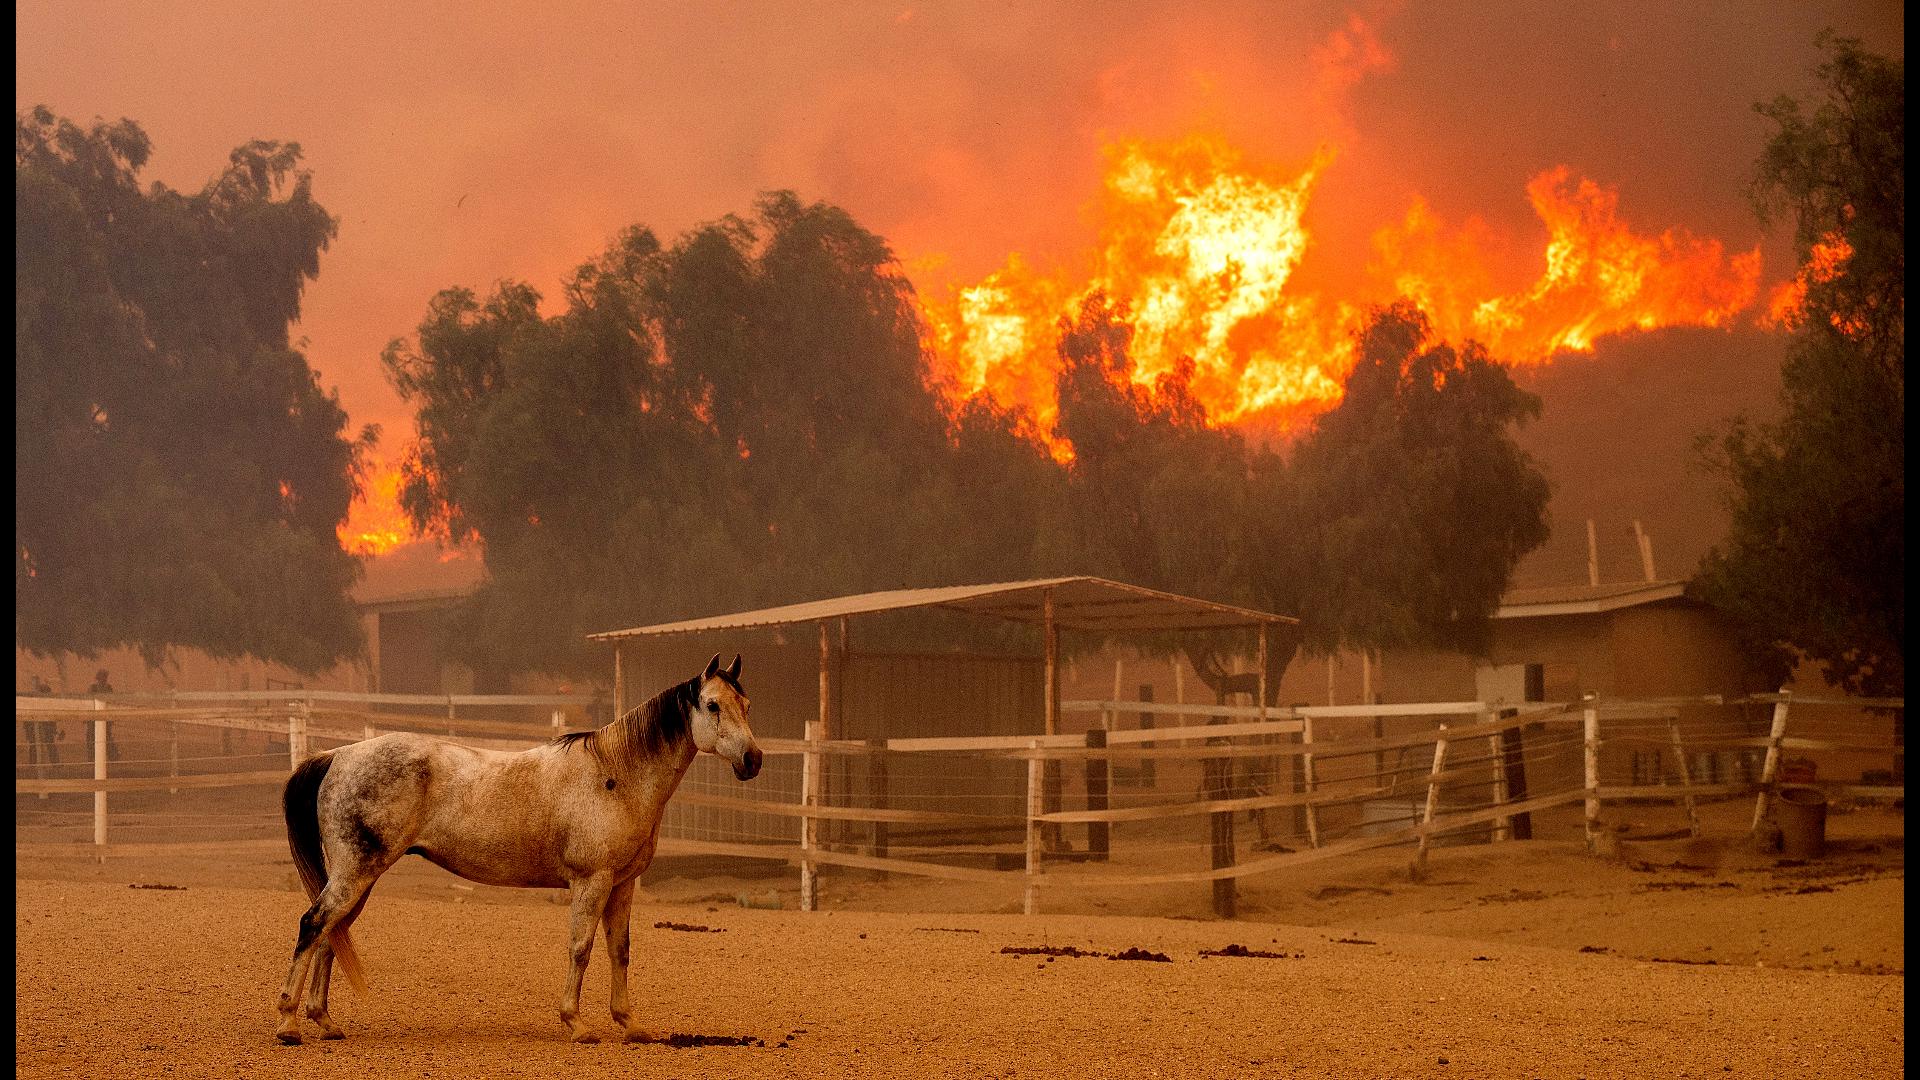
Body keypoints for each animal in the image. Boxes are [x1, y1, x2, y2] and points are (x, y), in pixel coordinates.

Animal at [274, 653, 760, 1037]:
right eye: (713, 705)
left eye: (747, 705)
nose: (752, 760)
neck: (615, 775)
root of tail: (339, 755)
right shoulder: (592, 881)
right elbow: (580, 947)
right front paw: (576, 1023)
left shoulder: (622, 885)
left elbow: (619, 951)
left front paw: (630, 1024)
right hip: (355, 874)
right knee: (313, 925)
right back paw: (288, 1022)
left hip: (358, 878)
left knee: (331, 933)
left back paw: (324, 1022)